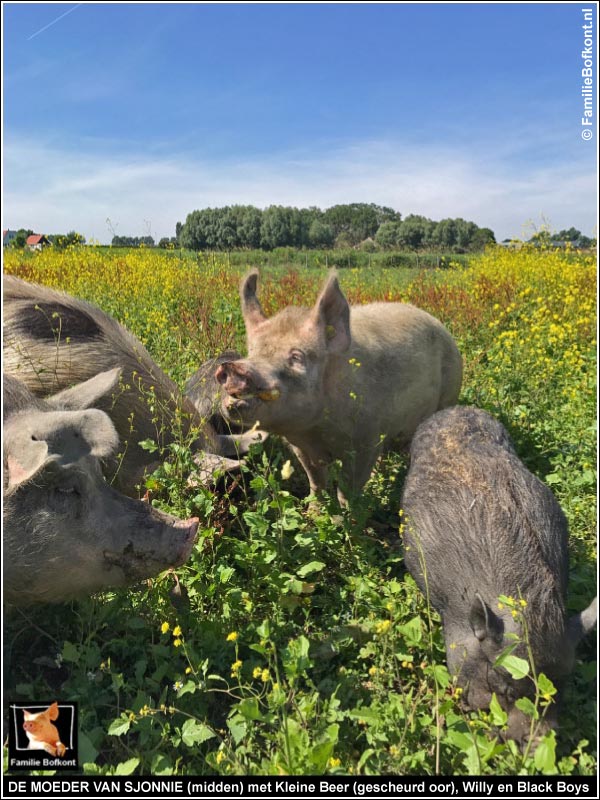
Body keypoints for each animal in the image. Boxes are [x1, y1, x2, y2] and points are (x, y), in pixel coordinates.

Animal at [216, 272, 464, 504]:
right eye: (252, 351)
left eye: (297, 357)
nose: (231, 367)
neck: (315, 431)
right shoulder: (301, 447)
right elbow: (316, 482)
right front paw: (314, 512)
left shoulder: (365, 441)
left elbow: (347, 491)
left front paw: (346, 517)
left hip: (449, 394)